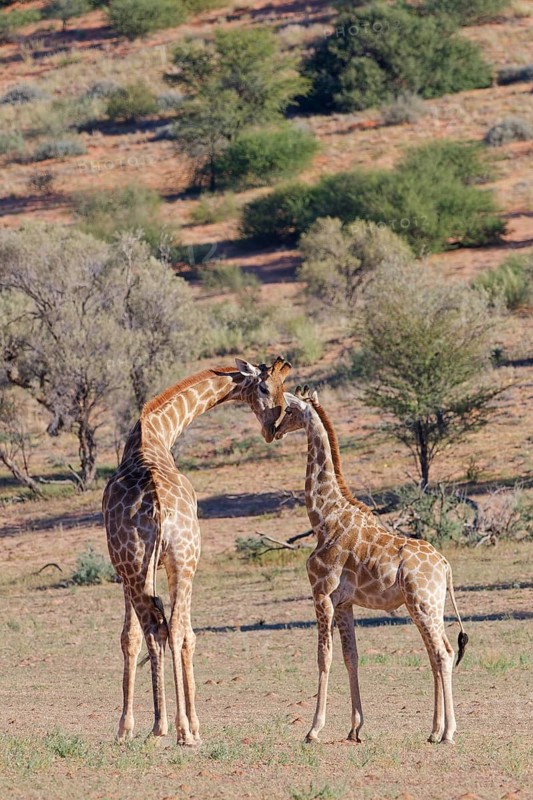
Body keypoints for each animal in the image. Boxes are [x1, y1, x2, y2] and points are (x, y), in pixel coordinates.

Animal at [103, 357, 291, 746]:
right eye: (266, 388)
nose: (274, 429)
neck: (156, 431)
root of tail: (159, 507)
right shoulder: (165, 567)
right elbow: (180, 634)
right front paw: (192, 724)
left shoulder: (122, 570)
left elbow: (131, 638)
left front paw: (125, 727)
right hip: (181, 560)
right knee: (173, 628)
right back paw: (181, 729)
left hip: (141, 565)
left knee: (158, 628)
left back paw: (166, 727)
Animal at [274, 387, 468, 745]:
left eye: (289, 409)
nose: (276, 430)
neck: (324, 517)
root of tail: (445, 564)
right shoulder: (344, 602)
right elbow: (351, 657)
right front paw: (355, 728)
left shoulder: (321, 594)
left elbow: (324, 657)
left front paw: (314, 729)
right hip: (424, 606)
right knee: (438, 654)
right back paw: (434, 731)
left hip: (423, 604)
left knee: (443, 654)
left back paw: (448, 733)